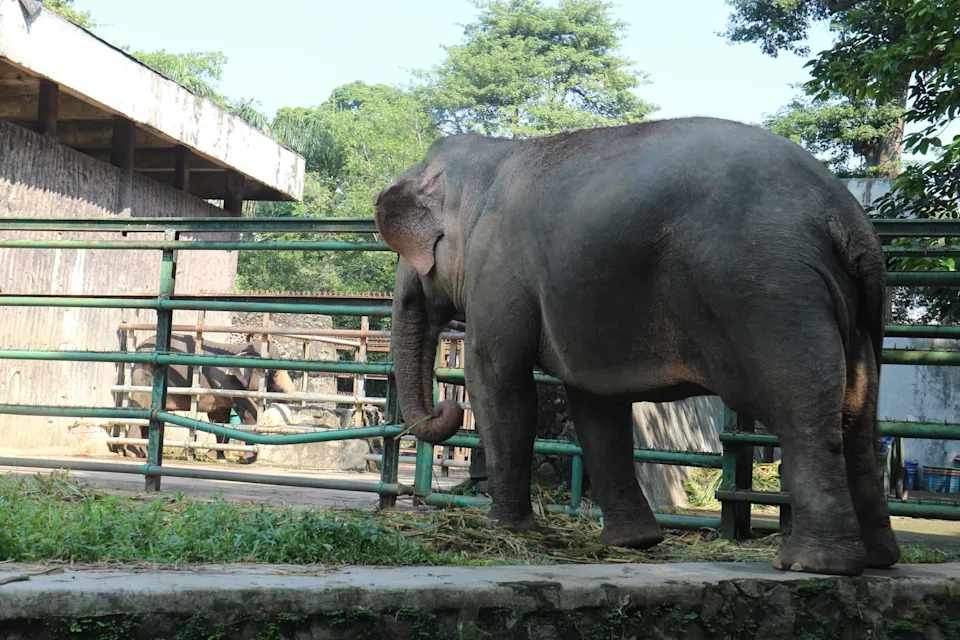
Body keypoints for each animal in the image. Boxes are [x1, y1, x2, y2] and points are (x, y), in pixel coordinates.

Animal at [115, 334, 296, 463]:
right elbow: (248, 414)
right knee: (141, 411)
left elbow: (220, 418)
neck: (239, 348)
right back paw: (134, 454)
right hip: (144, 379)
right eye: (274, 372)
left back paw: (143, 453)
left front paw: (213, 458)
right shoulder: (229, 384)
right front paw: (246, 461)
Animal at [372, 116, 895, 576]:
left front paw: (505, 529)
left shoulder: (497, 269)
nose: (444, 409)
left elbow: (500, 383)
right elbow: (596, 408)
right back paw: (876, 559)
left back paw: (811, 564)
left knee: (802, 408)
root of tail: (845, 215)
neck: (489, 159)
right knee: (858, 416)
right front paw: (633, 543)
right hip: (854, 316)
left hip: (769, 296)